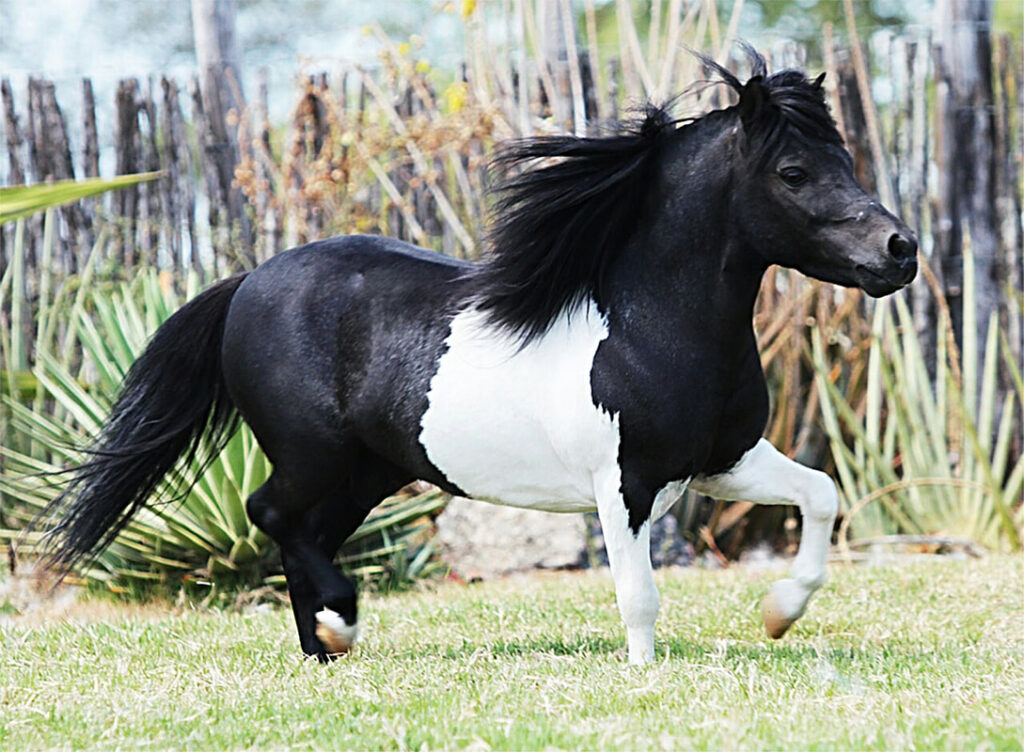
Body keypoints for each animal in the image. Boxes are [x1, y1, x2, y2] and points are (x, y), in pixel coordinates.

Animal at [42, 51, 917, 665]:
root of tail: (250, 281)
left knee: (302, 532)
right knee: (272, 516)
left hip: (369, 471)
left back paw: (321, 648)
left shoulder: (721, 462)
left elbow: (822, 495)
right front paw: (647, 674)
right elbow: (638, 594)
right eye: (794, 172)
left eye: (845, 162)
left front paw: (779, 613)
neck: (649, 326)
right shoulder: (623, 483)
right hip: (313, 455)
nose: (900, 252)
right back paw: (339, 626)